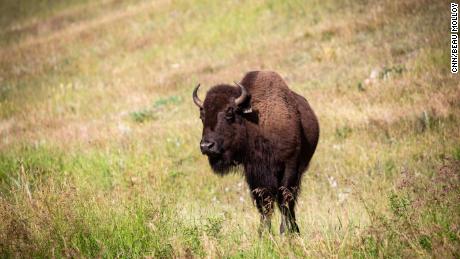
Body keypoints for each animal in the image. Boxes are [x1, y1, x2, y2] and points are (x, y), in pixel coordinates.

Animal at [192, 71, 318, 236]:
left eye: (229, 112)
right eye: (202, 116)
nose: (206, 146)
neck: (254, 122)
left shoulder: (290, 167)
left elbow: (284, 200)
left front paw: (284, 231)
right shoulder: (254, 172)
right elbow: (264, 204)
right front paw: (263, 233)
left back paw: (294, 230)